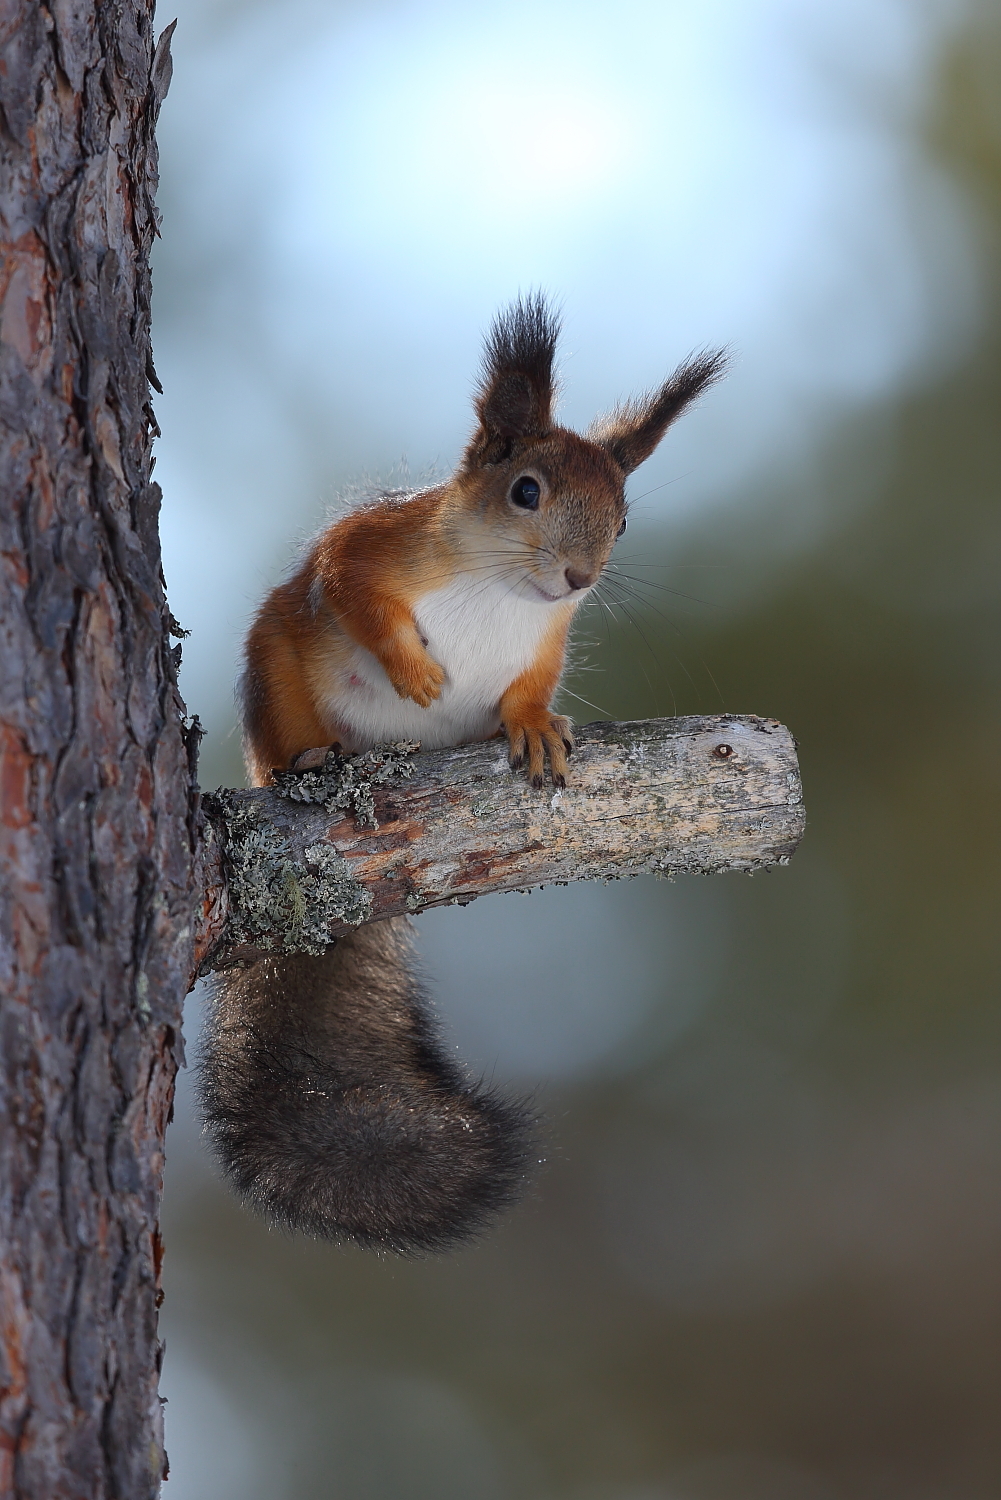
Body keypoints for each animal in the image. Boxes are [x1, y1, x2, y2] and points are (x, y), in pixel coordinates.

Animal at [198, 295, 725, 1255]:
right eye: (526, 491)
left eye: (623, 519)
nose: (578, 577)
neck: (501, 589)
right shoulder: (371, 547)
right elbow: (355, 590)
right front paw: (413, 673)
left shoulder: (547, 641)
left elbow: (530, 689)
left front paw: (537, 728)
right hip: (274, 670)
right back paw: (314, 758)